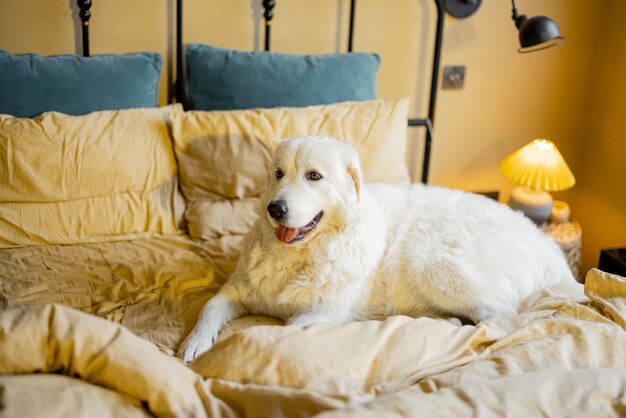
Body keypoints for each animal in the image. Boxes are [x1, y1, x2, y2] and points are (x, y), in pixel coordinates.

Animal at [178, 136, 572, 360]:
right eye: (278, 174)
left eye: (314, 176)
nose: (275, 209)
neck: (303, 256)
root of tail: (552, 252)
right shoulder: (237, 290)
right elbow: (210, 307)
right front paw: (195, 342)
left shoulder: (323, 313)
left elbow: (276, 331)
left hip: (431, 265)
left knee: (501, 319)